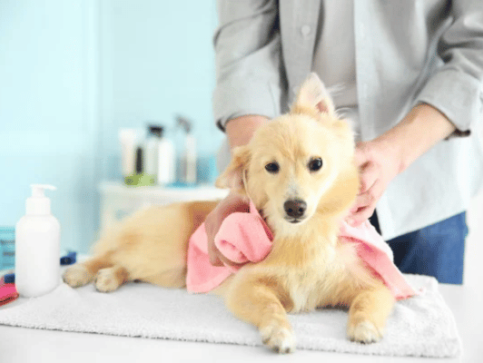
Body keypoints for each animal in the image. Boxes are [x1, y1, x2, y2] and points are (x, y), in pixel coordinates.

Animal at [64, 74, 396, 356]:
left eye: (316, 163)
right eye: (271, 167)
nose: (295, 207)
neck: (303, 236)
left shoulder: (375, 286)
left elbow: (367, 302)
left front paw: (364, 326)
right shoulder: (247, 286)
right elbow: (272, 307)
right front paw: (279, 332)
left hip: (170, 272)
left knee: (125, 265)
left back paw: (108, 278)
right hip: (163, 253)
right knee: (113, 255)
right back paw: (82, 271)